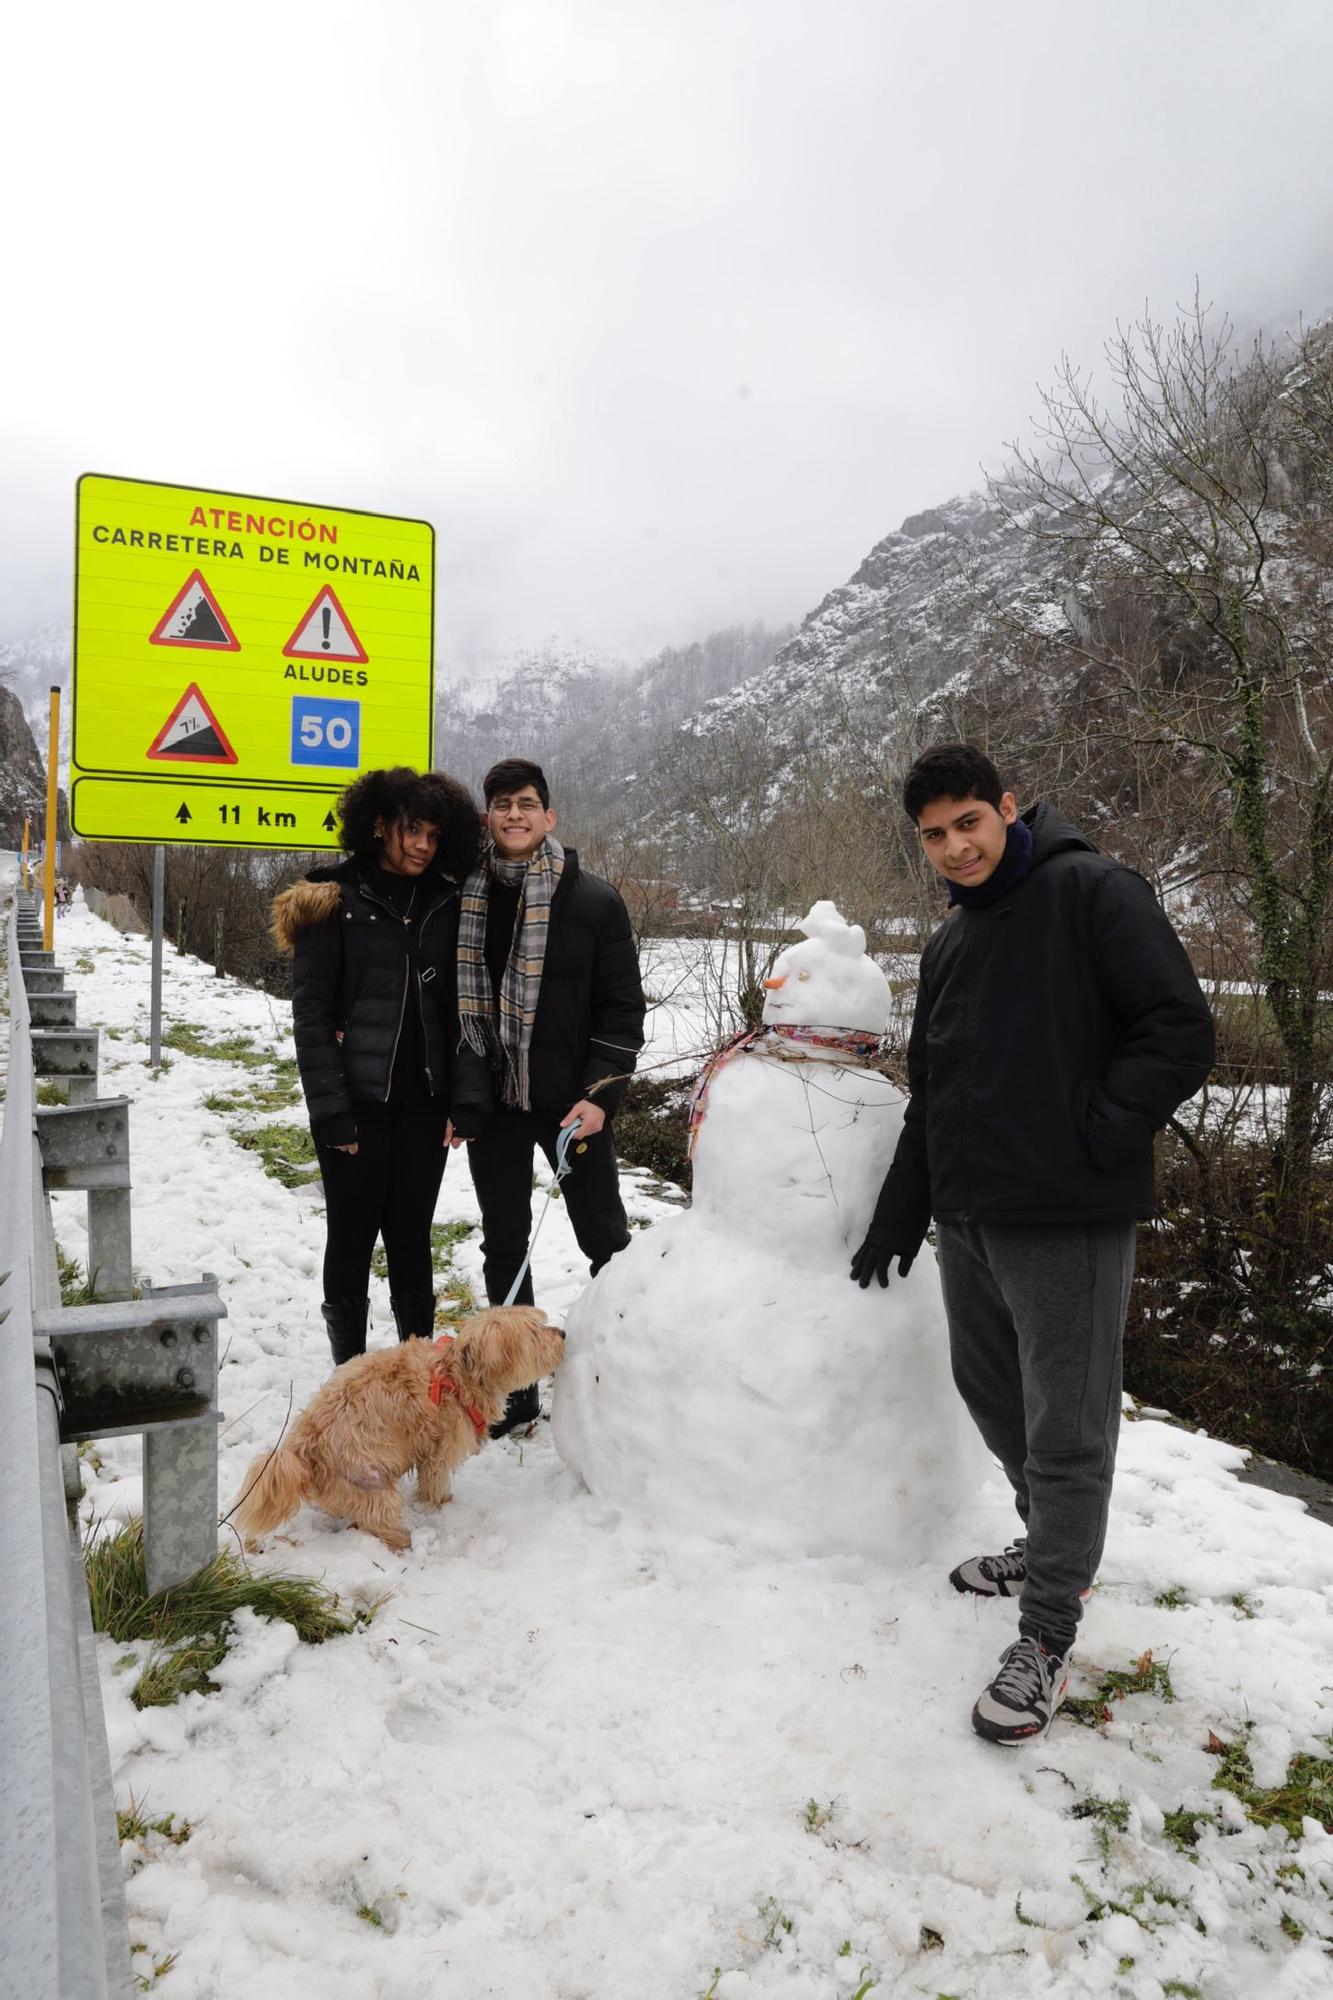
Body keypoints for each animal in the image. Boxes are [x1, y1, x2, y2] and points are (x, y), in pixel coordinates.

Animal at [233, 1304, 560, 1552]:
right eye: (535, 1331)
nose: (563, 1333)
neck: (456, 1375)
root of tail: (301, 1449)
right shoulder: (438, 1452)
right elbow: (435, 1483)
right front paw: (442, 1505)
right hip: (372, 1484)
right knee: (377, 1520)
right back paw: (402, 1541)